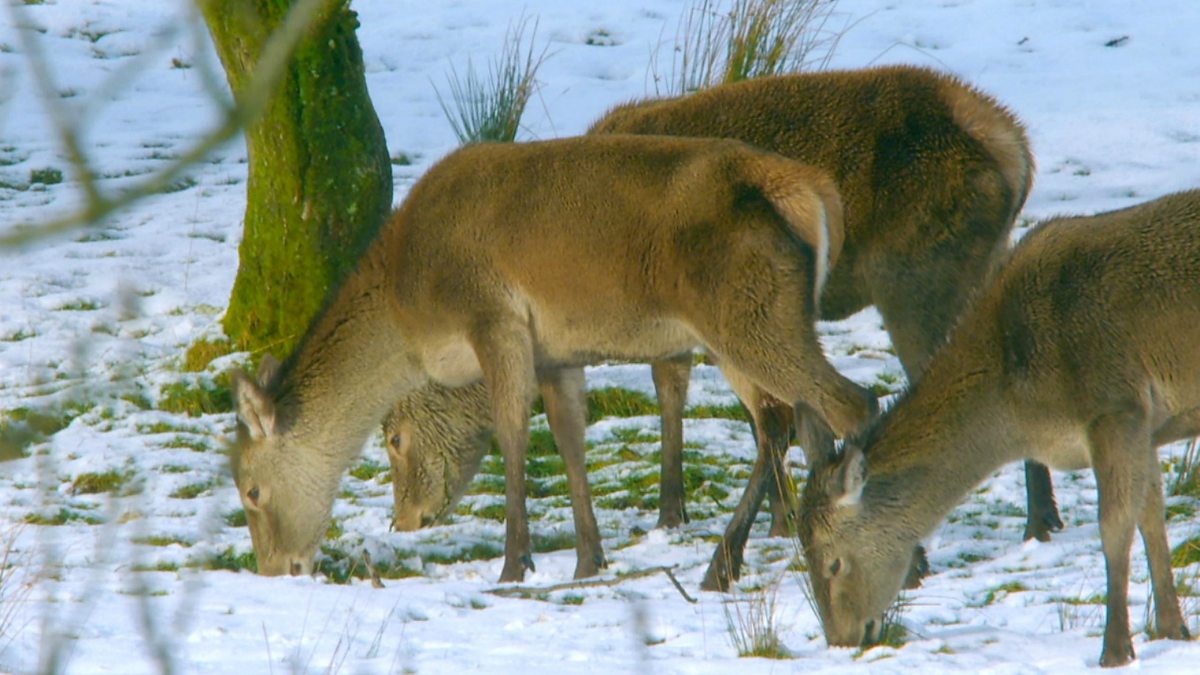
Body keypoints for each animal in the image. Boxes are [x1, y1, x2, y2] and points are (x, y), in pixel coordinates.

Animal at [230, 133, 877, 584]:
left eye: (250, 491)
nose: (275, 569)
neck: (409, 306)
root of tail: (813, 192)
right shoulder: (556, 352)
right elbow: (569, 437)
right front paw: (589, 560)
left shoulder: (494, 318)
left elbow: (514, 433)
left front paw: (515, 564)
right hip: (758, 324)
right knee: (789, 420)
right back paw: (741, 558)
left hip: (745, 314)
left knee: (848, 402)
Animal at [381, 64, 1047, 590]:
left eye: (393, 436)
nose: (403, 519)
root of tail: (1017, 149)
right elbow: (741, 410)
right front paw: (759, 517)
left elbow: (709, 402)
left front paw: (682, 512)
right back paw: (1041, 521)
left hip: (917, 277)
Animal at [798, 190, 1200, 668]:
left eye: (833, 563)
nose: (842, 640)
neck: (1019, 408)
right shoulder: (1146, 427)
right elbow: (1152, 518)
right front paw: (1173, 630)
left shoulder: (1115, 407)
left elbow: (1115, 528)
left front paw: (1116, 650)